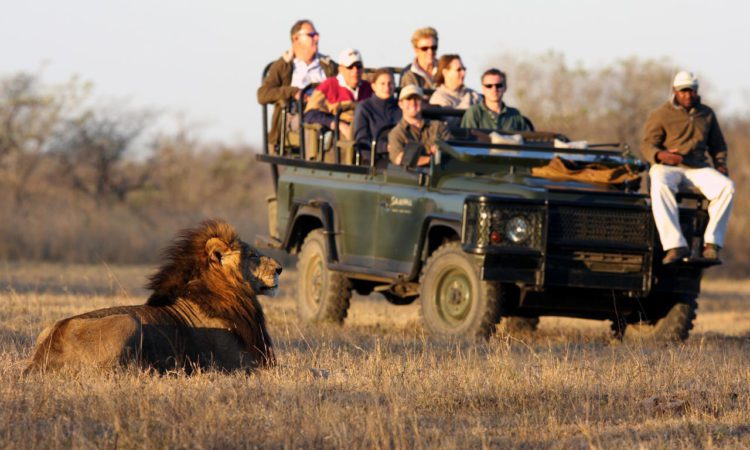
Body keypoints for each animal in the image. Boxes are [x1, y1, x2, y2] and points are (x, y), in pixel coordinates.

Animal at [25, 221, 282, 372]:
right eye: (253, 255)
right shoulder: (242, 364)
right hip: (127, 322)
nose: (280, 268)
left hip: (45, 330)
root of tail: (44, 355)